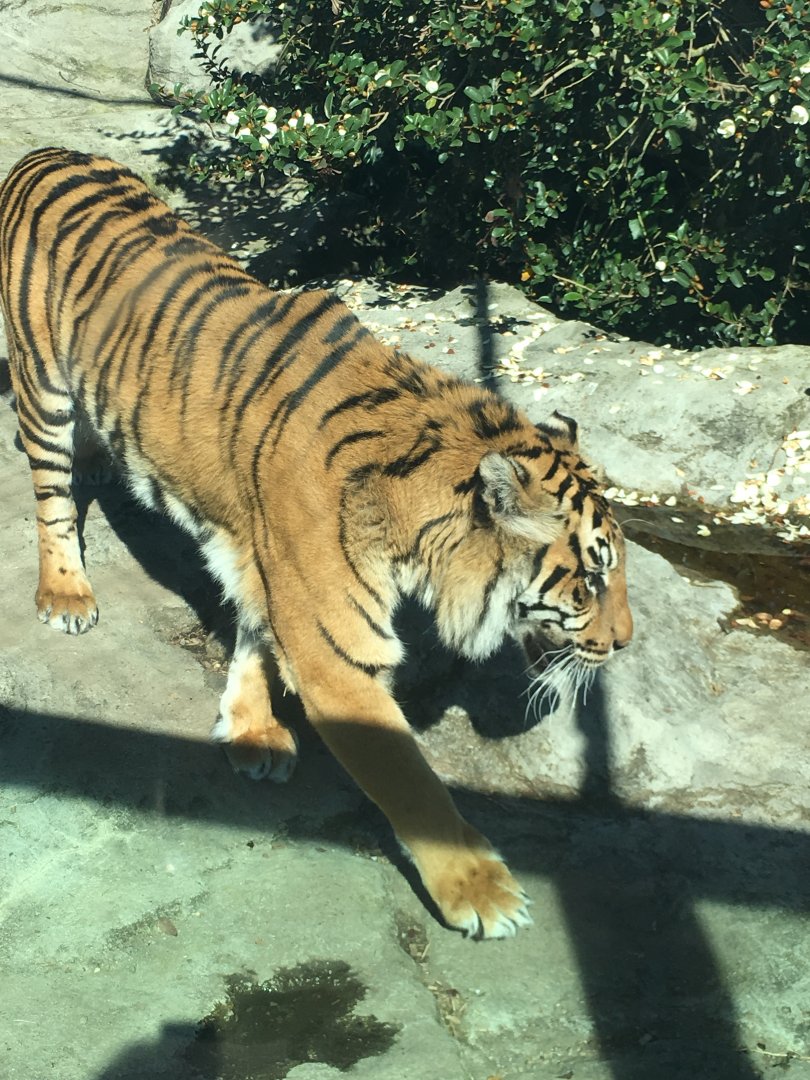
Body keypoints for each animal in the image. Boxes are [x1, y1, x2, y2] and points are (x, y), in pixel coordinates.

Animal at [0, 148, 632, 939]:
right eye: (590, 581)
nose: (626, 642)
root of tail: (45, 153)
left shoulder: (267, 564)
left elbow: (254, 632)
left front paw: (250, 730)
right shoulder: (340, 654)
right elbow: (411, 783)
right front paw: (483, 893)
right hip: (42, 388)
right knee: (51, 500)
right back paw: (65, 591)